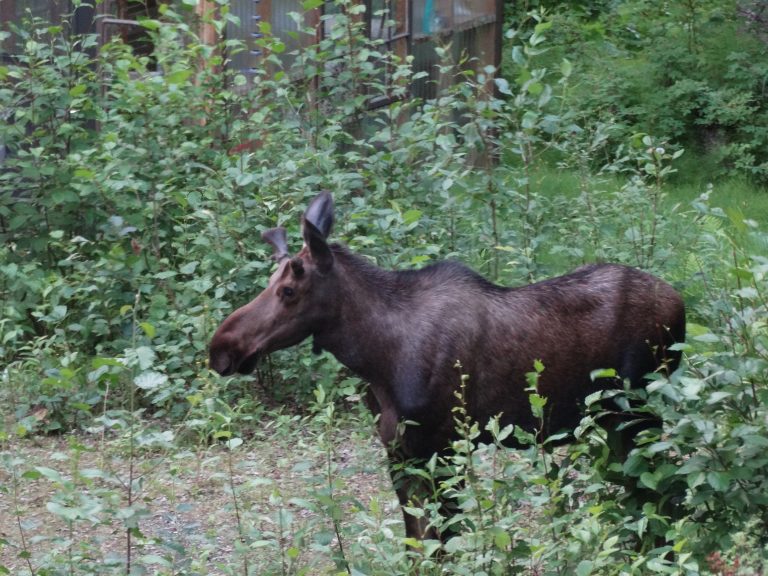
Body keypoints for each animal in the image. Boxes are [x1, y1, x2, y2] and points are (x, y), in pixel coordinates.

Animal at [207, 192, 688, 540]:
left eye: (288, 290)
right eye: (271, 282)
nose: (220, 348)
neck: (376, 360)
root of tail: (681, 302)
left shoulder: (443, 446)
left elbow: (444, 541)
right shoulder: (398, 452)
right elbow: (417, 542)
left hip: (639, 414)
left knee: (663, 493)